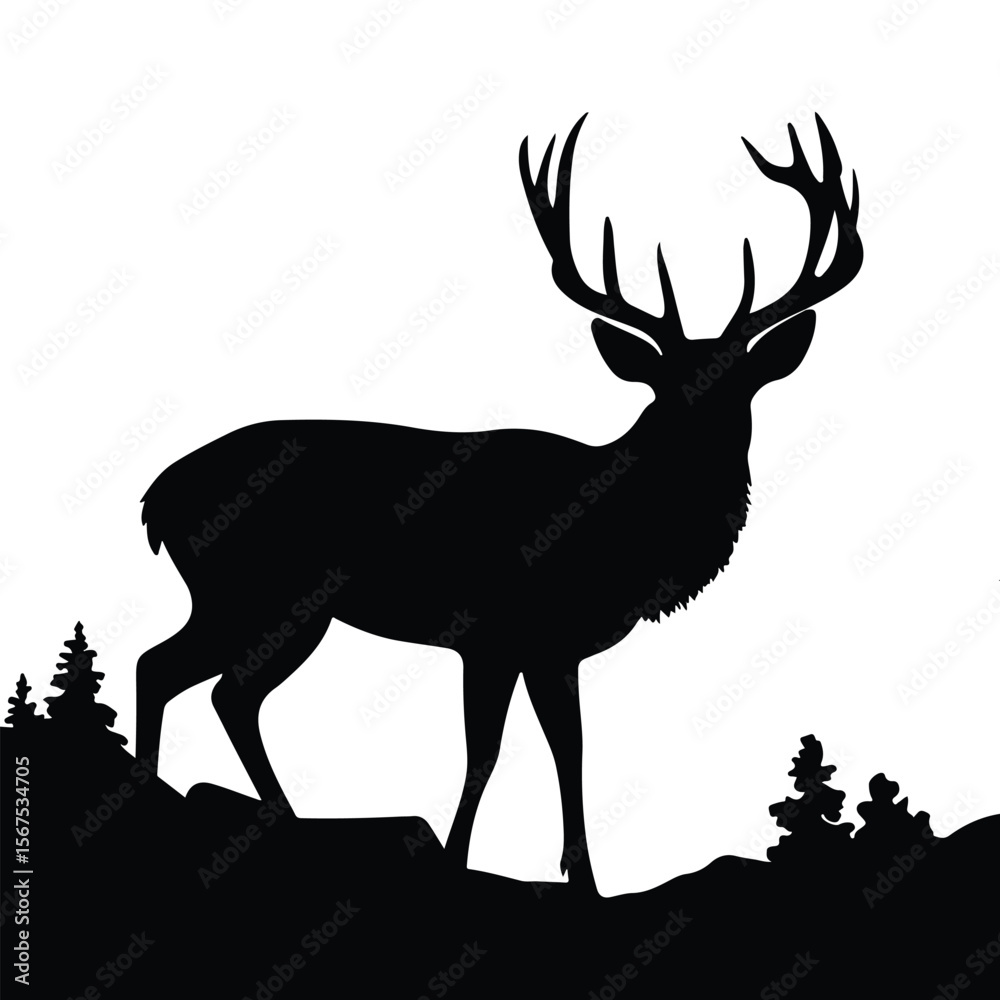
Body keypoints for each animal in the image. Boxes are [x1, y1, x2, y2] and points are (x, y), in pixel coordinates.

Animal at [136, 113, 861, 895]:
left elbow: (570, 748)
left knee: (206, 685)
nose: (707, 450)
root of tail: (156, 497)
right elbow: (486, 750)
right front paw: (457, 860)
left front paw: (585, 880)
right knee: (187, 677)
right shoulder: (493, 631)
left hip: (261, 603)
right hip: (261, 594)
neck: (614, 532)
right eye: (665, 388)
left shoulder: (553, 647)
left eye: (743, 386)